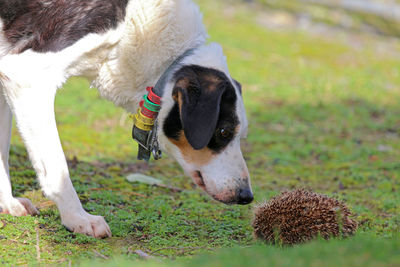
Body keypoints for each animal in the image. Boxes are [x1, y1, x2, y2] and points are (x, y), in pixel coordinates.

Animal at [0, 0, 253, 239]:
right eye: (223, 133)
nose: (247, 196)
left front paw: (7, 203)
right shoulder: (29, 77)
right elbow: (56, 167)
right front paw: (77, 217)